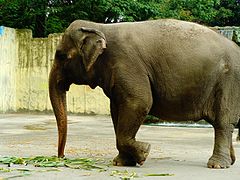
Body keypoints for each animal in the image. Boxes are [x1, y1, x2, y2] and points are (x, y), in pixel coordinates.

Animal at [48, 18, 240, 169]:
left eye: (61, 56)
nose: (61, 157)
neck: (100, 27)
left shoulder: (127, 63)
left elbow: (139, 102)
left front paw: (144, 152)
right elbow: (117, 110)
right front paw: (121, 162)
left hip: (228, 81)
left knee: (223, 122)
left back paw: (217, 165)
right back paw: (230, 161)